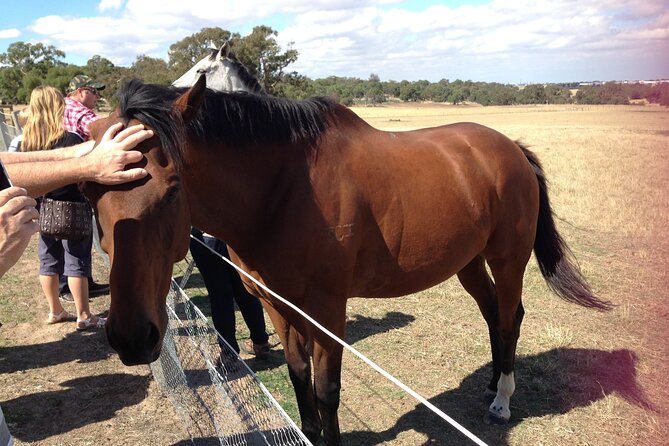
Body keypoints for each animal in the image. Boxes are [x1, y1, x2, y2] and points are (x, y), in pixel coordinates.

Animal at [83, 75, 611, 445]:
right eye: (90, 193)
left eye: (172, 190)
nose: (131, 338)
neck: (284, 189)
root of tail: (510, 149)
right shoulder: (278, 305)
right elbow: (299, 379)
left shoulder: (327, 310)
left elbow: (326, 389)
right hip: (467, 263)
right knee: (492, 316)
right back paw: (490, 385)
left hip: (507, 260)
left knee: (509, 317)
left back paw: (502, 400)